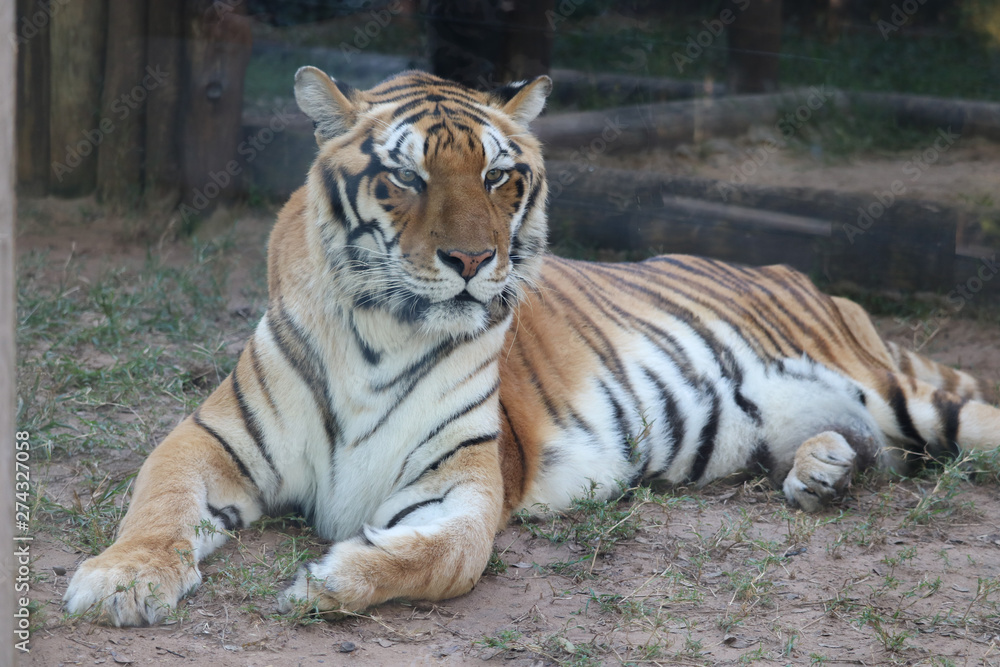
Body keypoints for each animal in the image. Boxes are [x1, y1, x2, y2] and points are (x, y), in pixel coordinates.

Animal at [64, 67, 1000, 627]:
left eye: (498, 175)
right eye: (404, 178)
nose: (473, 260)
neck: (382, 331)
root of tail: (801, 272)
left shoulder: (464, 480)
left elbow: (443, 556)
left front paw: (330, 577)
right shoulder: (210, 437)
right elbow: (155, 504)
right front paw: (121, 581)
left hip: (916, 397)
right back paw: (823, 471)